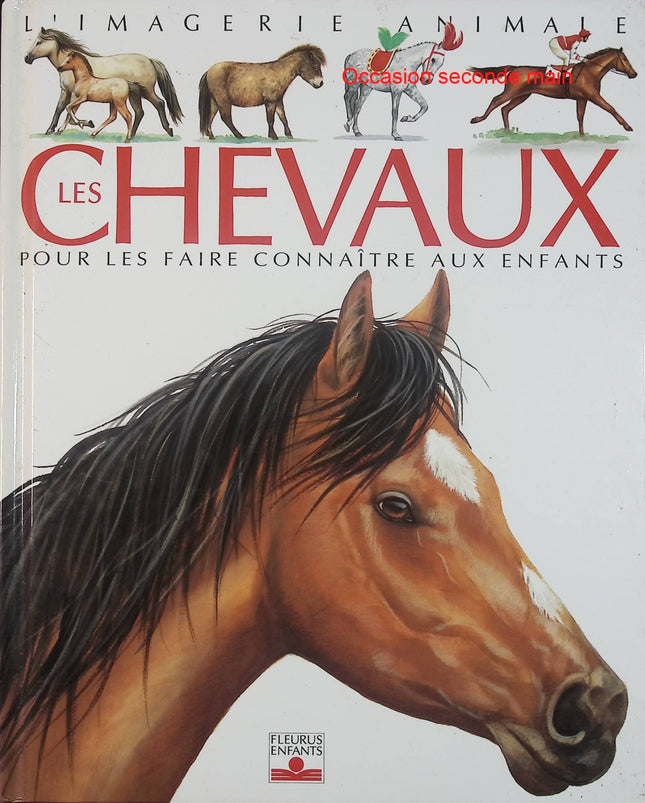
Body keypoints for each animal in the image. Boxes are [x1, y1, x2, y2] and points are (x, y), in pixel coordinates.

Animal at [25, 27, 183, 137]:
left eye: (38, 42)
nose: (27, 58)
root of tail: (150, 60)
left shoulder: (76, 95)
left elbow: (70, 112)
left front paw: (81, 124)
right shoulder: (66, 91)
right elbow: (59, 109)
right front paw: (50, 130)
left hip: (146, 91)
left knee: (159, 103)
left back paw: (168, 130)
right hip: (134, 95)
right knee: (139, 112)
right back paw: (131, 135)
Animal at [470, 47, 637, 134]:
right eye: (625, 59)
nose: (634, 74)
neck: (590, 72)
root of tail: (515, 68)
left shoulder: (582, 98)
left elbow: (580, 117)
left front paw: (582, 136)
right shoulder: (593, 96)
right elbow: (611, 108)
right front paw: (627, 126)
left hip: (522, 96)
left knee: (505, 109)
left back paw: (507, 131)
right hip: (512, 92)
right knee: (496, 100)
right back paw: (477, 119)